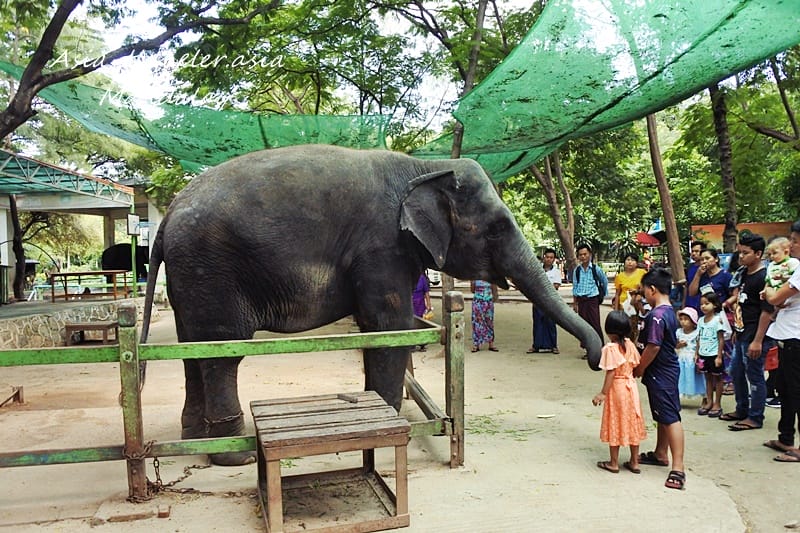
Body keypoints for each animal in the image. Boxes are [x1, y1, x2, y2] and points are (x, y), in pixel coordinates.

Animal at [140, 144, 602, 466]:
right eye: (496, 229)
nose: (596, 360)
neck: (424, 165)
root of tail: (166, 217)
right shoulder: (383, 246)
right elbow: (389, 327)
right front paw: (391, 429)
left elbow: (374, 329)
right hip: (212, 268)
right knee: (221, 351)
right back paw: (235, 455)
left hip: (192, 277)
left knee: (189, 348)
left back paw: (193, 441)